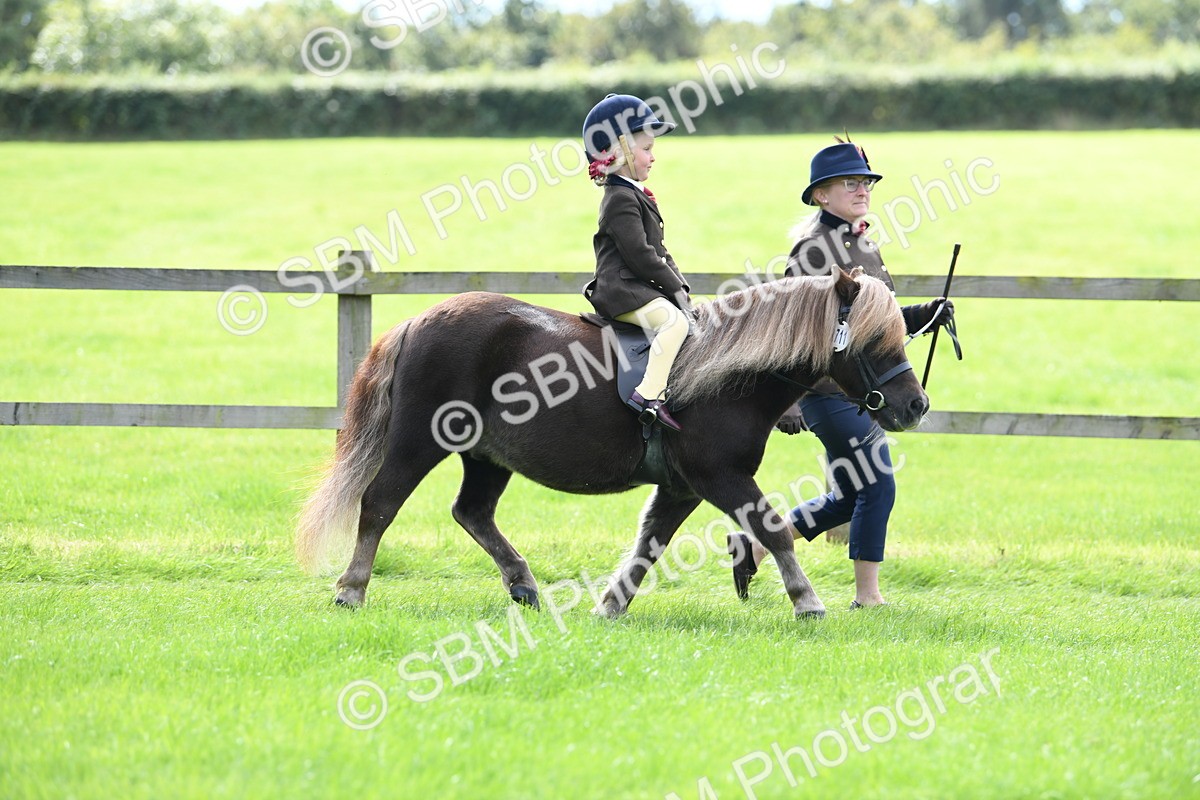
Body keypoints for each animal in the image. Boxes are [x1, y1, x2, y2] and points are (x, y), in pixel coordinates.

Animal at [295, 269, 928, 619]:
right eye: (875, 340)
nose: (915, 406)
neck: (726, 376)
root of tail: (418, 321)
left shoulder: (682, 488)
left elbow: (650, 544)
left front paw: (611, 604)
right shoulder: (721, 478)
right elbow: (772, 529)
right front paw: (807, 602)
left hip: (486, 456)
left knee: (471, 511)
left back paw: (523, 584)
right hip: (418, 443)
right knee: (380, 503)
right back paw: (351, 589)